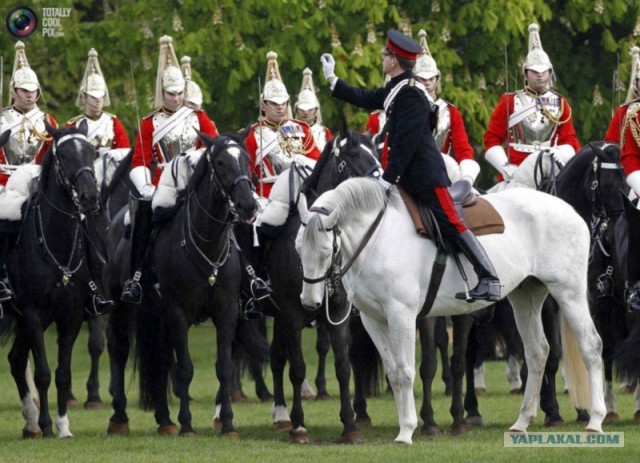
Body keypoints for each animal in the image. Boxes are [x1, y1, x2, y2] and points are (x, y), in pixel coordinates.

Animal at [1, 120, 99, 438]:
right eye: (64, 156)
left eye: (91, 152)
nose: (90, 197)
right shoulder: (33, 313)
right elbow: (43, 373)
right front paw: (46, 424)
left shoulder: (70, 315)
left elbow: (63, 374)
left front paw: (63, 425)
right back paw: (35, 422)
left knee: (16, 360)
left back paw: (30, 421)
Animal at [104, 132, 255, 436]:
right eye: (220, 163)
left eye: (246, 159)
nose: (249, 205)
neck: (207, 243)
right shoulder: (178, 313)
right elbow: (185, 368)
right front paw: (187, 424)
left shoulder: (227, 312)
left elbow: (224, 367)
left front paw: (228, 424)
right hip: (121, 309)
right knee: (119, 348)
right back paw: (119, 418)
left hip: (155, 315)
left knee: (160, 359)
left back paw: (164, 420)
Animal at [260, 132, 380, 444]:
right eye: (353, 155)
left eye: (376, 151)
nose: (380, 183)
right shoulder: (292, 314)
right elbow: (298, 368)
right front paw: (299, 426)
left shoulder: (337, 312)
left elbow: (343, 366)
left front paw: (350, 425)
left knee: (276, 358)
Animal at [296, 177, 604, 442]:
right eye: (298, 248)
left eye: (326, 251)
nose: (310, 302)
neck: (378, 238)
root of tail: (570, 211)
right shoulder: (374, 320)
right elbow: (394, 372)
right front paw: (405, 424)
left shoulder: (402, 314)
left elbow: (406, 370)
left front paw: (407, 430)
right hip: (526, 296)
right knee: (538, 352)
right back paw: (522, 422)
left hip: (568, 293)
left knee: (591, 346)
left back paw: (595, 420)